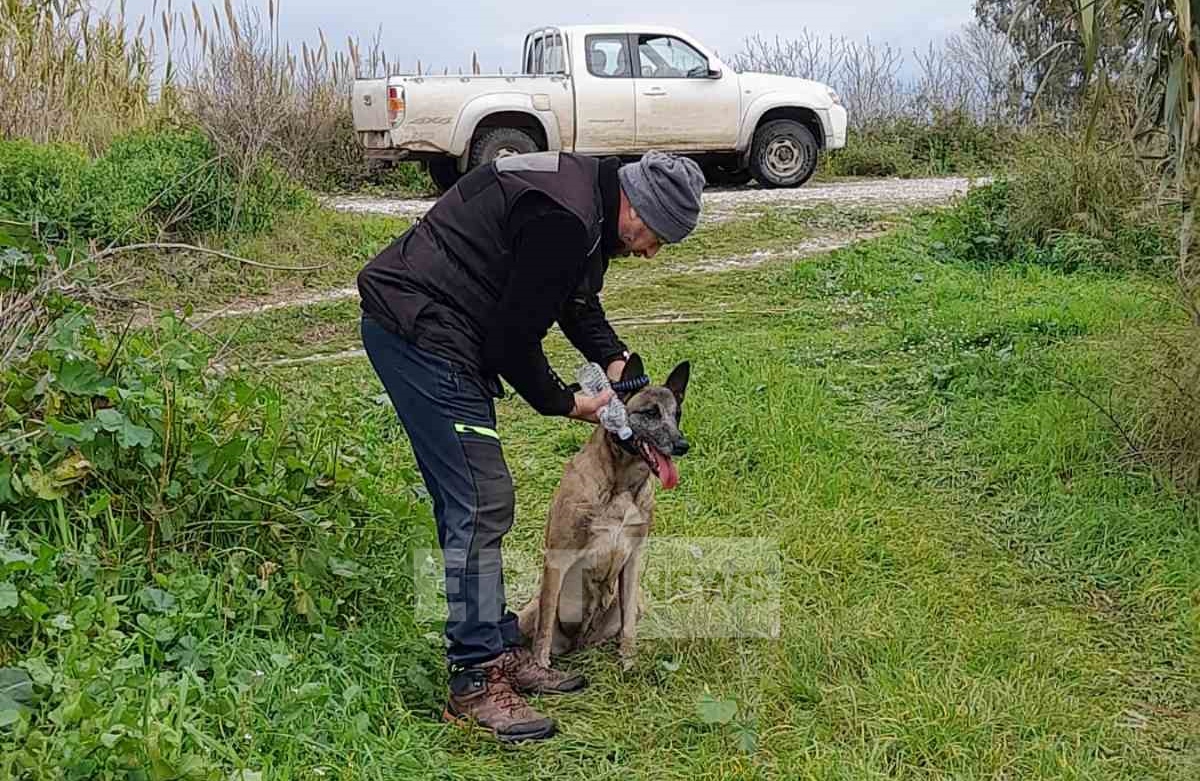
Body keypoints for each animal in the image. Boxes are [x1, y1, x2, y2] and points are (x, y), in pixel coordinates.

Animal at [518, 357, 696, 667]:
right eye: (650, 413)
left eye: (677, 415)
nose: (682, 445)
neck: (621, 486)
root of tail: (579, 644)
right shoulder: (558, 559)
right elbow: (544, 630)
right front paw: (541, 667)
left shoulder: (633, 558)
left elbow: (628, 626)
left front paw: (628, 660)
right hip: (528, 612)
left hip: (636, 601)